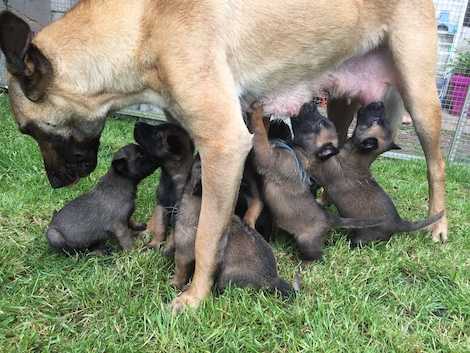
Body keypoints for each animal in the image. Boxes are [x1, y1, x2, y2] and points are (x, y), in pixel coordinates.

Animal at [134, 121, 195, 250]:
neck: (170, 178)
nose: (136, 123)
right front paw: (155, 244)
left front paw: (167, 248)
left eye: (157, 134)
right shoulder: (161, 206)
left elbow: (174, 234)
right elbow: (160, 227)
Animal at [172, 155, 294, 296]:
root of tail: (272, 280)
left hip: (226, 277)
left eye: (199, 165)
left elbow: (180, 270)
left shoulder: (183, 250)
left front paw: (175, 285)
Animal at [248, 103, 384, 260]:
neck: (303, 153)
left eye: (321, 123)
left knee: (318, 256)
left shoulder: (267, 156)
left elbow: (260, 133)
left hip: (307, 242)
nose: (310, 103)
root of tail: (330, 219)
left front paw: (257, 112)